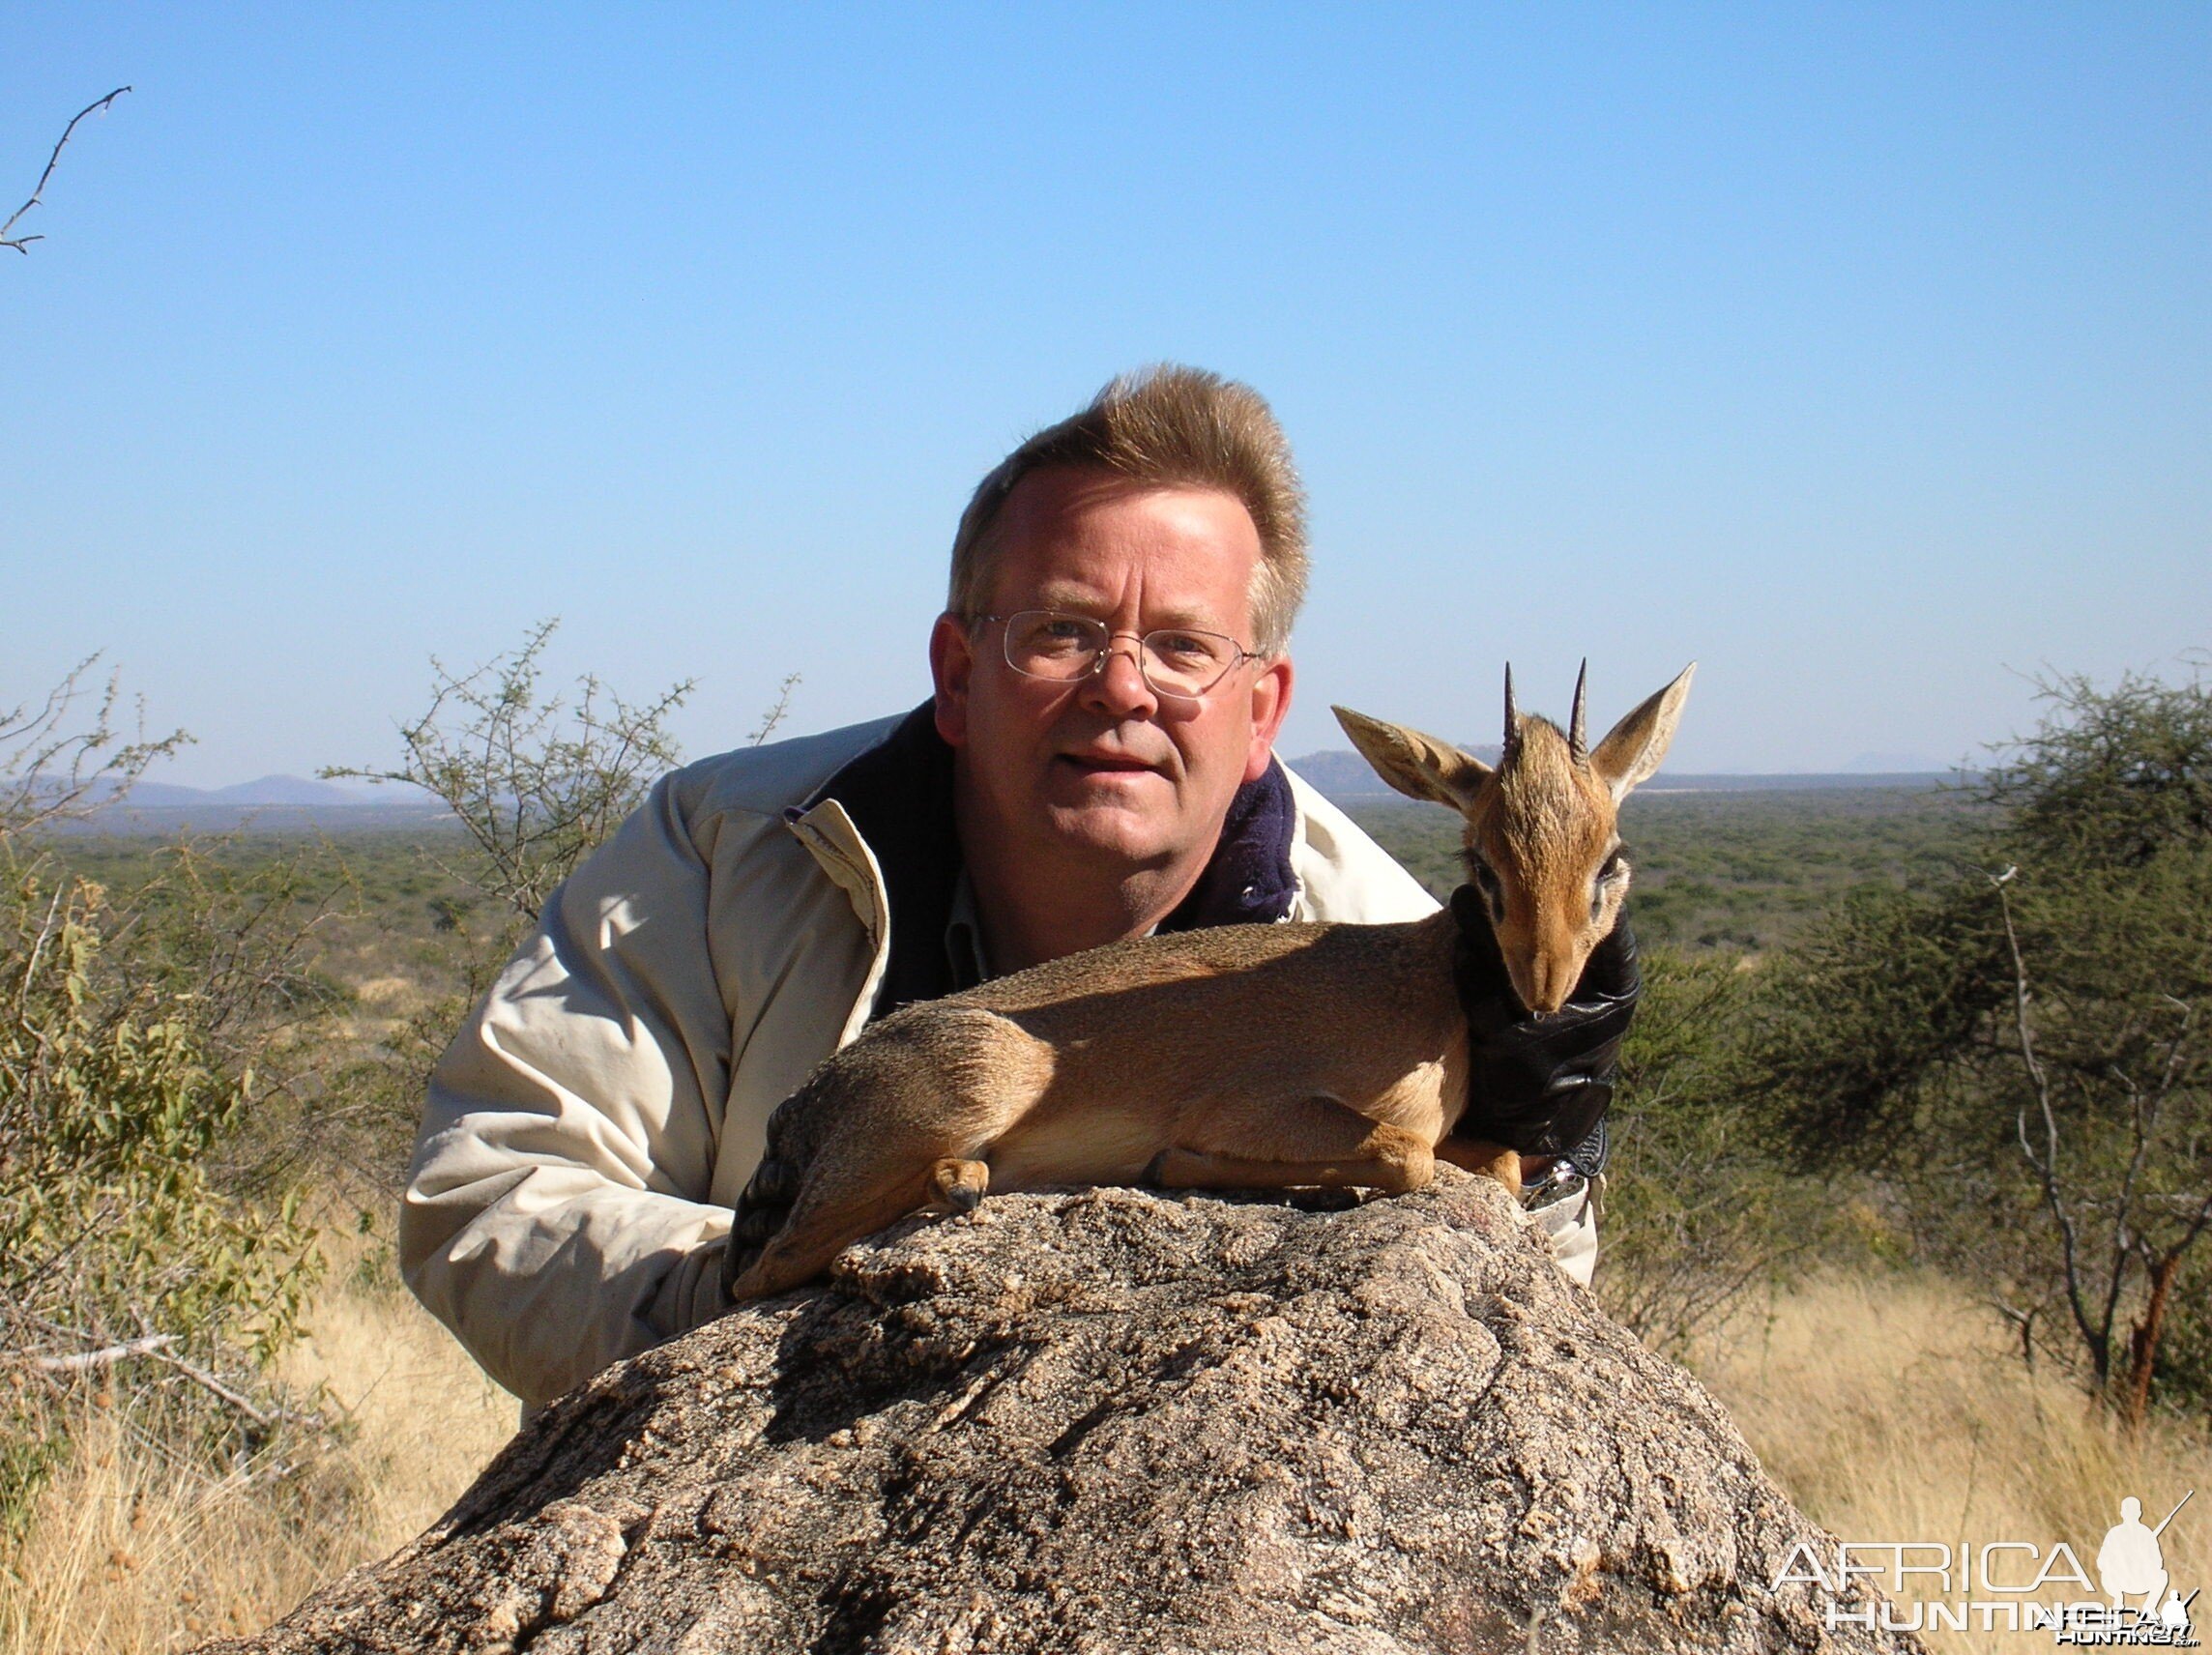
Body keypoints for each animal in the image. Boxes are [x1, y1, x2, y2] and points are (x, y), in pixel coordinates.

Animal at [725, 663, 1690, 1300]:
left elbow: (1497, 1163)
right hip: (972, 1092)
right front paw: (1192, 1166)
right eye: (1483, 867)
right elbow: (1404, 1157)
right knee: (763, 1272)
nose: (1546, 988)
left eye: (1610, 861)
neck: (1424, 986)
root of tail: (804, 1104)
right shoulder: (1255, 1104)